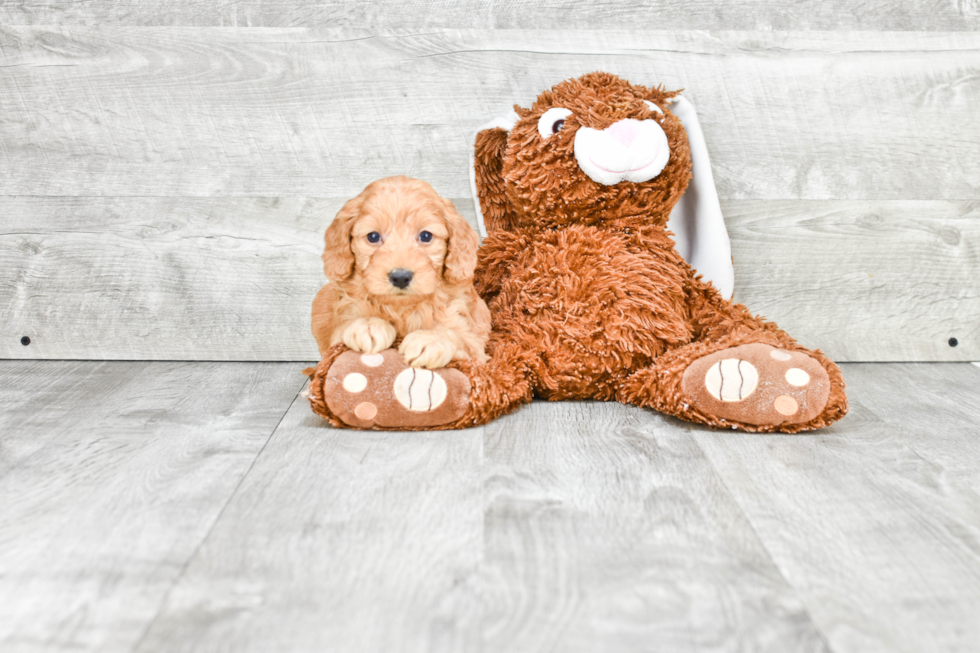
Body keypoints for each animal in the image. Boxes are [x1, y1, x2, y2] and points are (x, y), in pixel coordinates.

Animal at [312, 176, 488, 370]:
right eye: (373, 236)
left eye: (426, 236)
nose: (401, 277)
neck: (402, 308)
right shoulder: (337, 332)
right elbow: (342, 331)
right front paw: (368, 324)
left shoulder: (475, 347)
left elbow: (460, 337)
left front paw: (431, 339)